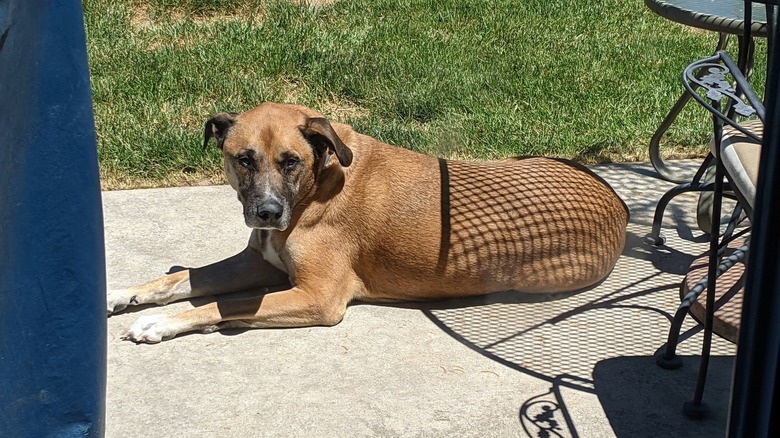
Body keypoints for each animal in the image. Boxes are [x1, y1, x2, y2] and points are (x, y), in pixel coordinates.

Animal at [106, 102, 632, 342]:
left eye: (291, 161)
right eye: (244, 159)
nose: (268, 214)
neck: (319, 182)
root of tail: (619, 205)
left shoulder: (317, 298)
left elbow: (221, 303)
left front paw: (161, 323)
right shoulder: (260, 261)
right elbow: (183, 279)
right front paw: (123, 294)